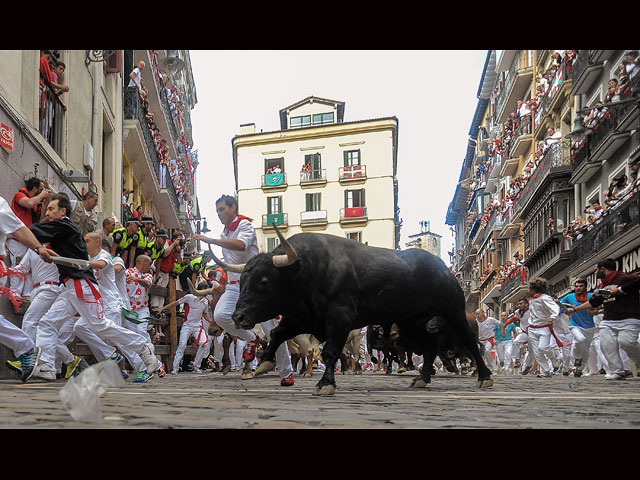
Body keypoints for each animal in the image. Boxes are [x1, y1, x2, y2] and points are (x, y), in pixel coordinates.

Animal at [212, 227, 492, 396]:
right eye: (243, 280)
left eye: (264, 281)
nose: (238, 317)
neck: (309, 267)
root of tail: (443, 268)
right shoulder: (303, 318)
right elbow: (278, 333)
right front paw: (264, 362)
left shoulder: (339, 320)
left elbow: (329, 352)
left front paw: (325, 383)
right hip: (410, 322)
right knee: (430, 348)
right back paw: (422, 378)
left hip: (453, 312)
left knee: (469, 343)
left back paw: (484, 376)